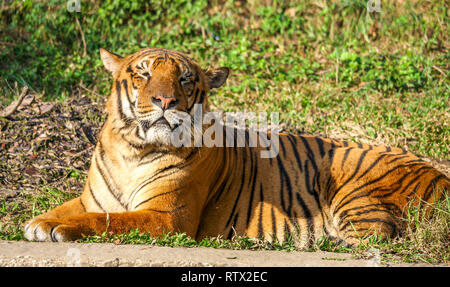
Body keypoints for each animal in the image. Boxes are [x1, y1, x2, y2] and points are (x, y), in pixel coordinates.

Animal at [24, 47, 450, 248]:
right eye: (143, 73)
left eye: (185, 78)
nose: (165, 101)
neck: (134, 149)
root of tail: (439, 174)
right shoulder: (92, 199)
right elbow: (70, 210)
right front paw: (39, 223)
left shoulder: (167, 216)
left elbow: (109, 221)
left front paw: (58, 229)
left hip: (353, 194)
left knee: (378, 236)